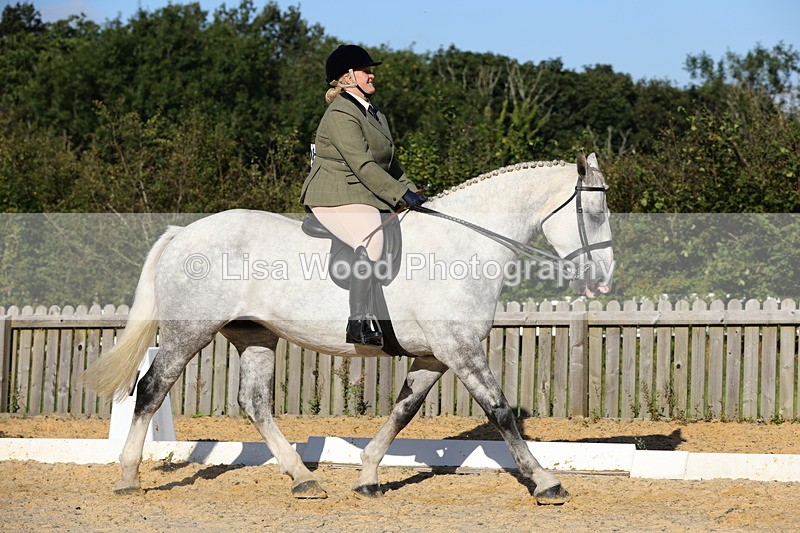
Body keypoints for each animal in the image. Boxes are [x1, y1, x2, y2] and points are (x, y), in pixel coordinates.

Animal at [84, 151, 614, 505]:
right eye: (594, 213)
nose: (603, 280)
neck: (462, 244)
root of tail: (184, 233)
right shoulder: (460, 349)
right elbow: (500, 411)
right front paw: (546, 482)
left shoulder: (434, 355)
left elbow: (403, 412)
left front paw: (367, 477)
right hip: (188, 331)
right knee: (151, 388)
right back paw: (128, 477)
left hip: (254, 334)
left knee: (253, 403)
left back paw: (304, 479)